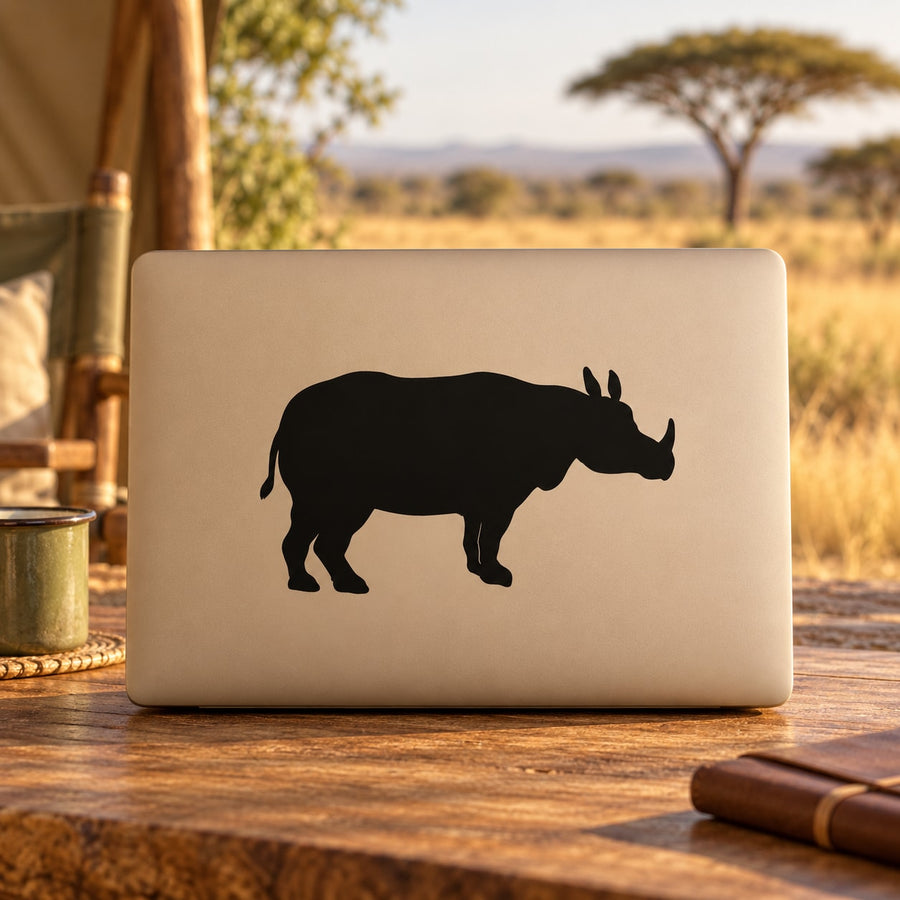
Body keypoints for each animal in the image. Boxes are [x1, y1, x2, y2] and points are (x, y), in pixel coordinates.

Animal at [260, 367, 675, 593]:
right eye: (619, 437)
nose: (666, 465)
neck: (574, 420)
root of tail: (285, 418)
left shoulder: (480, 499)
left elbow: (472, 535)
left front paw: (477, 571)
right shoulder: (502, 496)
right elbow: (493, 536)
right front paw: (498, 577)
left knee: (319, 523)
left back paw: (330, 586)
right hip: (336, 473)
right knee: (323, 521)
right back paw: (329, 586)